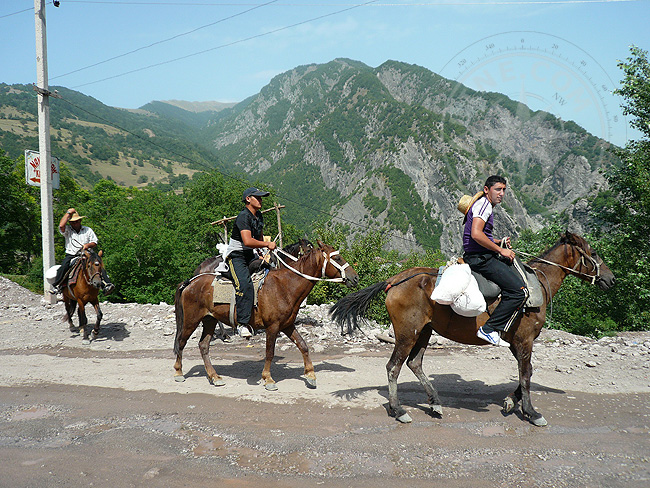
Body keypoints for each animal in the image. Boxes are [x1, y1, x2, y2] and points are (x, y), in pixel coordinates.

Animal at [173, 242, 360, 390]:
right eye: (339, 258)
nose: (355, 277)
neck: (286, 285)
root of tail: (190, 282)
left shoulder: (287, 325)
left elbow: (303, 346)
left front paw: (310, 375)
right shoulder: (273, 327)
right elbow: (270, 352)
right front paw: (268, 379)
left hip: (209, 320)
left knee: (203, 345)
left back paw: (214, 376)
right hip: (191, 320)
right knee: (181, 342)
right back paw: (179, 372)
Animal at [330, 233, 612, 428]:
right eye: (594, 252)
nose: (611, 279)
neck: (536, 285)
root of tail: (394, 280)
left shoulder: (516, 342)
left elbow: (528, 372)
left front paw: (512, 401)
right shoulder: (524, 340)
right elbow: (526, 375)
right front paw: (531, 412)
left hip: (424, 331)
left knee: (414, 363)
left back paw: (435, 402)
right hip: (407, 333)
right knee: (393, 367)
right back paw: (399, 410)